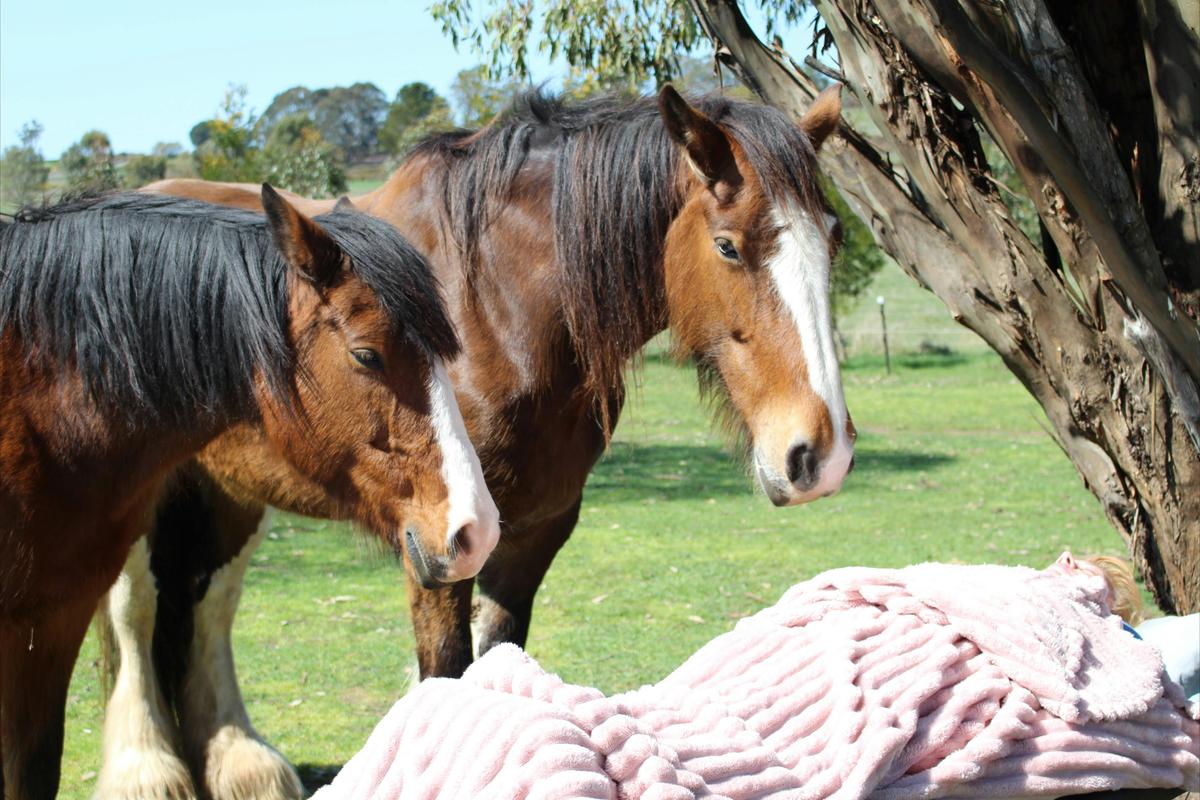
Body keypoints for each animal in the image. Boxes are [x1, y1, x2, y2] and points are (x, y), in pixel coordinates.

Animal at [100, 85, 854, 800]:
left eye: (834, 240)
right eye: (729, 245)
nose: (821, 454)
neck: (494, 310)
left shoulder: (534, 534)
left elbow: (495, 661)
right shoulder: (436, 541)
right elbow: (444, 666)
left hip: (233, 493)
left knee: (210, 600)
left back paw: (243, 765)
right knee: (135, 608)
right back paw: (146, 770)